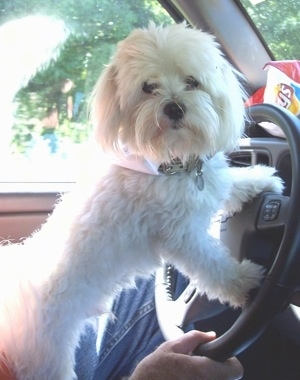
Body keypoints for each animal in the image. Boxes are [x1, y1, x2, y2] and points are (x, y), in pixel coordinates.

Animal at [0, 22, 282, 378]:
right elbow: (211, 264)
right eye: (149, 87)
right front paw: (243, 282)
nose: (174, 106)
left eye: (192, 81)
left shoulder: (205, 182)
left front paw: (262, 179)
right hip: (47, 356)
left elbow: (227, 184)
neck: (168, 164)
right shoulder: (181, 236)